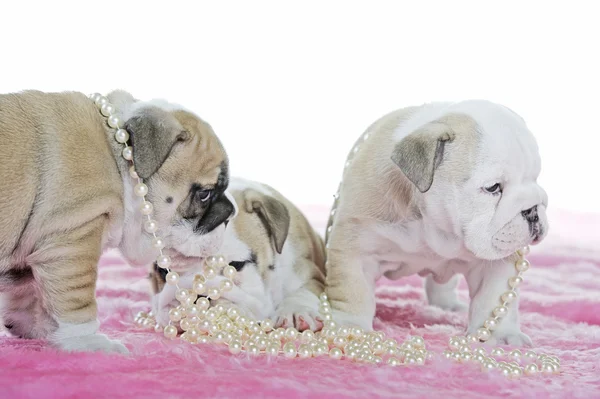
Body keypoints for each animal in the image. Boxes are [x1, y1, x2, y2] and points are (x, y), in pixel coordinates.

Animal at [0, 90, 234, 354]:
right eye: (204, 194)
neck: (119, 159)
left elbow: (25, 292)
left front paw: (35, 327)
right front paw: (87, 340)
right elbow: (77, 302)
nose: (230, 213)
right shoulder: (72, 244)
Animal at [152, 178, 326, 332]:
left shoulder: (312, 274)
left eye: (235, 265)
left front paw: (296, 311)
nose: (196, 296)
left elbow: (304, 291)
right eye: (163, 271)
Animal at [324, 101, 548, 348]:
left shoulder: (496, 264)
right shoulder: (358, 247)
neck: (433, 226)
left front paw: (501, 335)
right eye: (492, 188)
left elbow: (495, 299)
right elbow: (353, 291)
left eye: (535, 179)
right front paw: (351, 328)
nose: (533, 210)